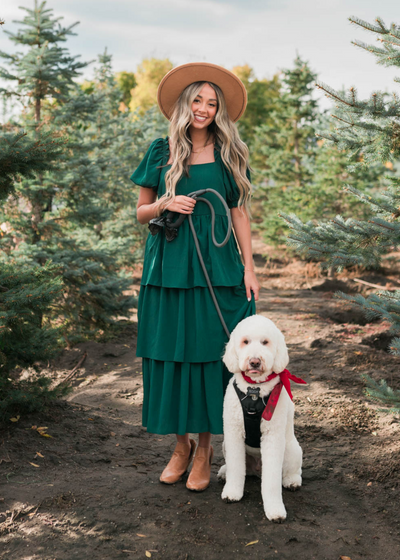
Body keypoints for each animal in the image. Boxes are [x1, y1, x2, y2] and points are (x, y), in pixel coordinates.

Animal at [217, 316, 304, 520]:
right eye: (245, 342)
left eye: (265, 342)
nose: (255, 361)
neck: (254, 391)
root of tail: (257, 469)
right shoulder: (233, 433)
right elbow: (235, 468)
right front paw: (232, 492)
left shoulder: (272, 437)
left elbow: (272, 481)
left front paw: (275, 509)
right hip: (226, 445)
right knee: (239, 469)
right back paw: (224, 471)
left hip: (292, 450)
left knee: (293, 470)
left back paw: (292, 481)